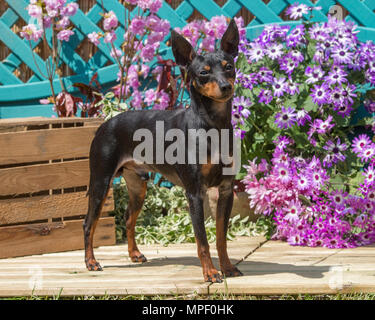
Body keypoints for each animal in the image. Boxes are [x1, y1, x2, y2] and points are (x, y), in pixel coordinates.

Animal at [83, 19, 242, 282]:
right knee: (88, 223)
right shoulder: (195, 193)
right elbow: (202, 240)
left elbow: (221, 237)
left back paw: (134, 254)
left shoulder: (226, 190)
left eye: (229, 67)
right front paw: (210, 272)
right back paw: (91, 262)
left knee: (128, 219)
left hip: (138, 185)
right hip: (100, 183)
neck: (213, 126)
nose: (225, 86)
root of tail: (105, 123)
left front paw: (227, 267)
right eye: (203, 72)